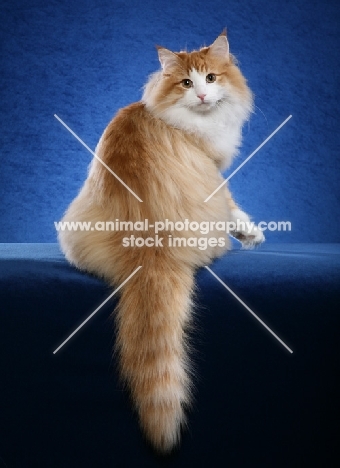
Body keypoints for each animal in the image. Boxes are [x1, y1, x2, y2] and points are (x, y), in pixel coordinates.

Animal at [58, 32, 264, 454]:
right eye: (186, 82)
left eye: (211, 78)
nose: (201, 95)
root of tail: (150, 244)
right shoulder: (214, 170)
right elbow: (233, 203)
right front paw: (249, 232)